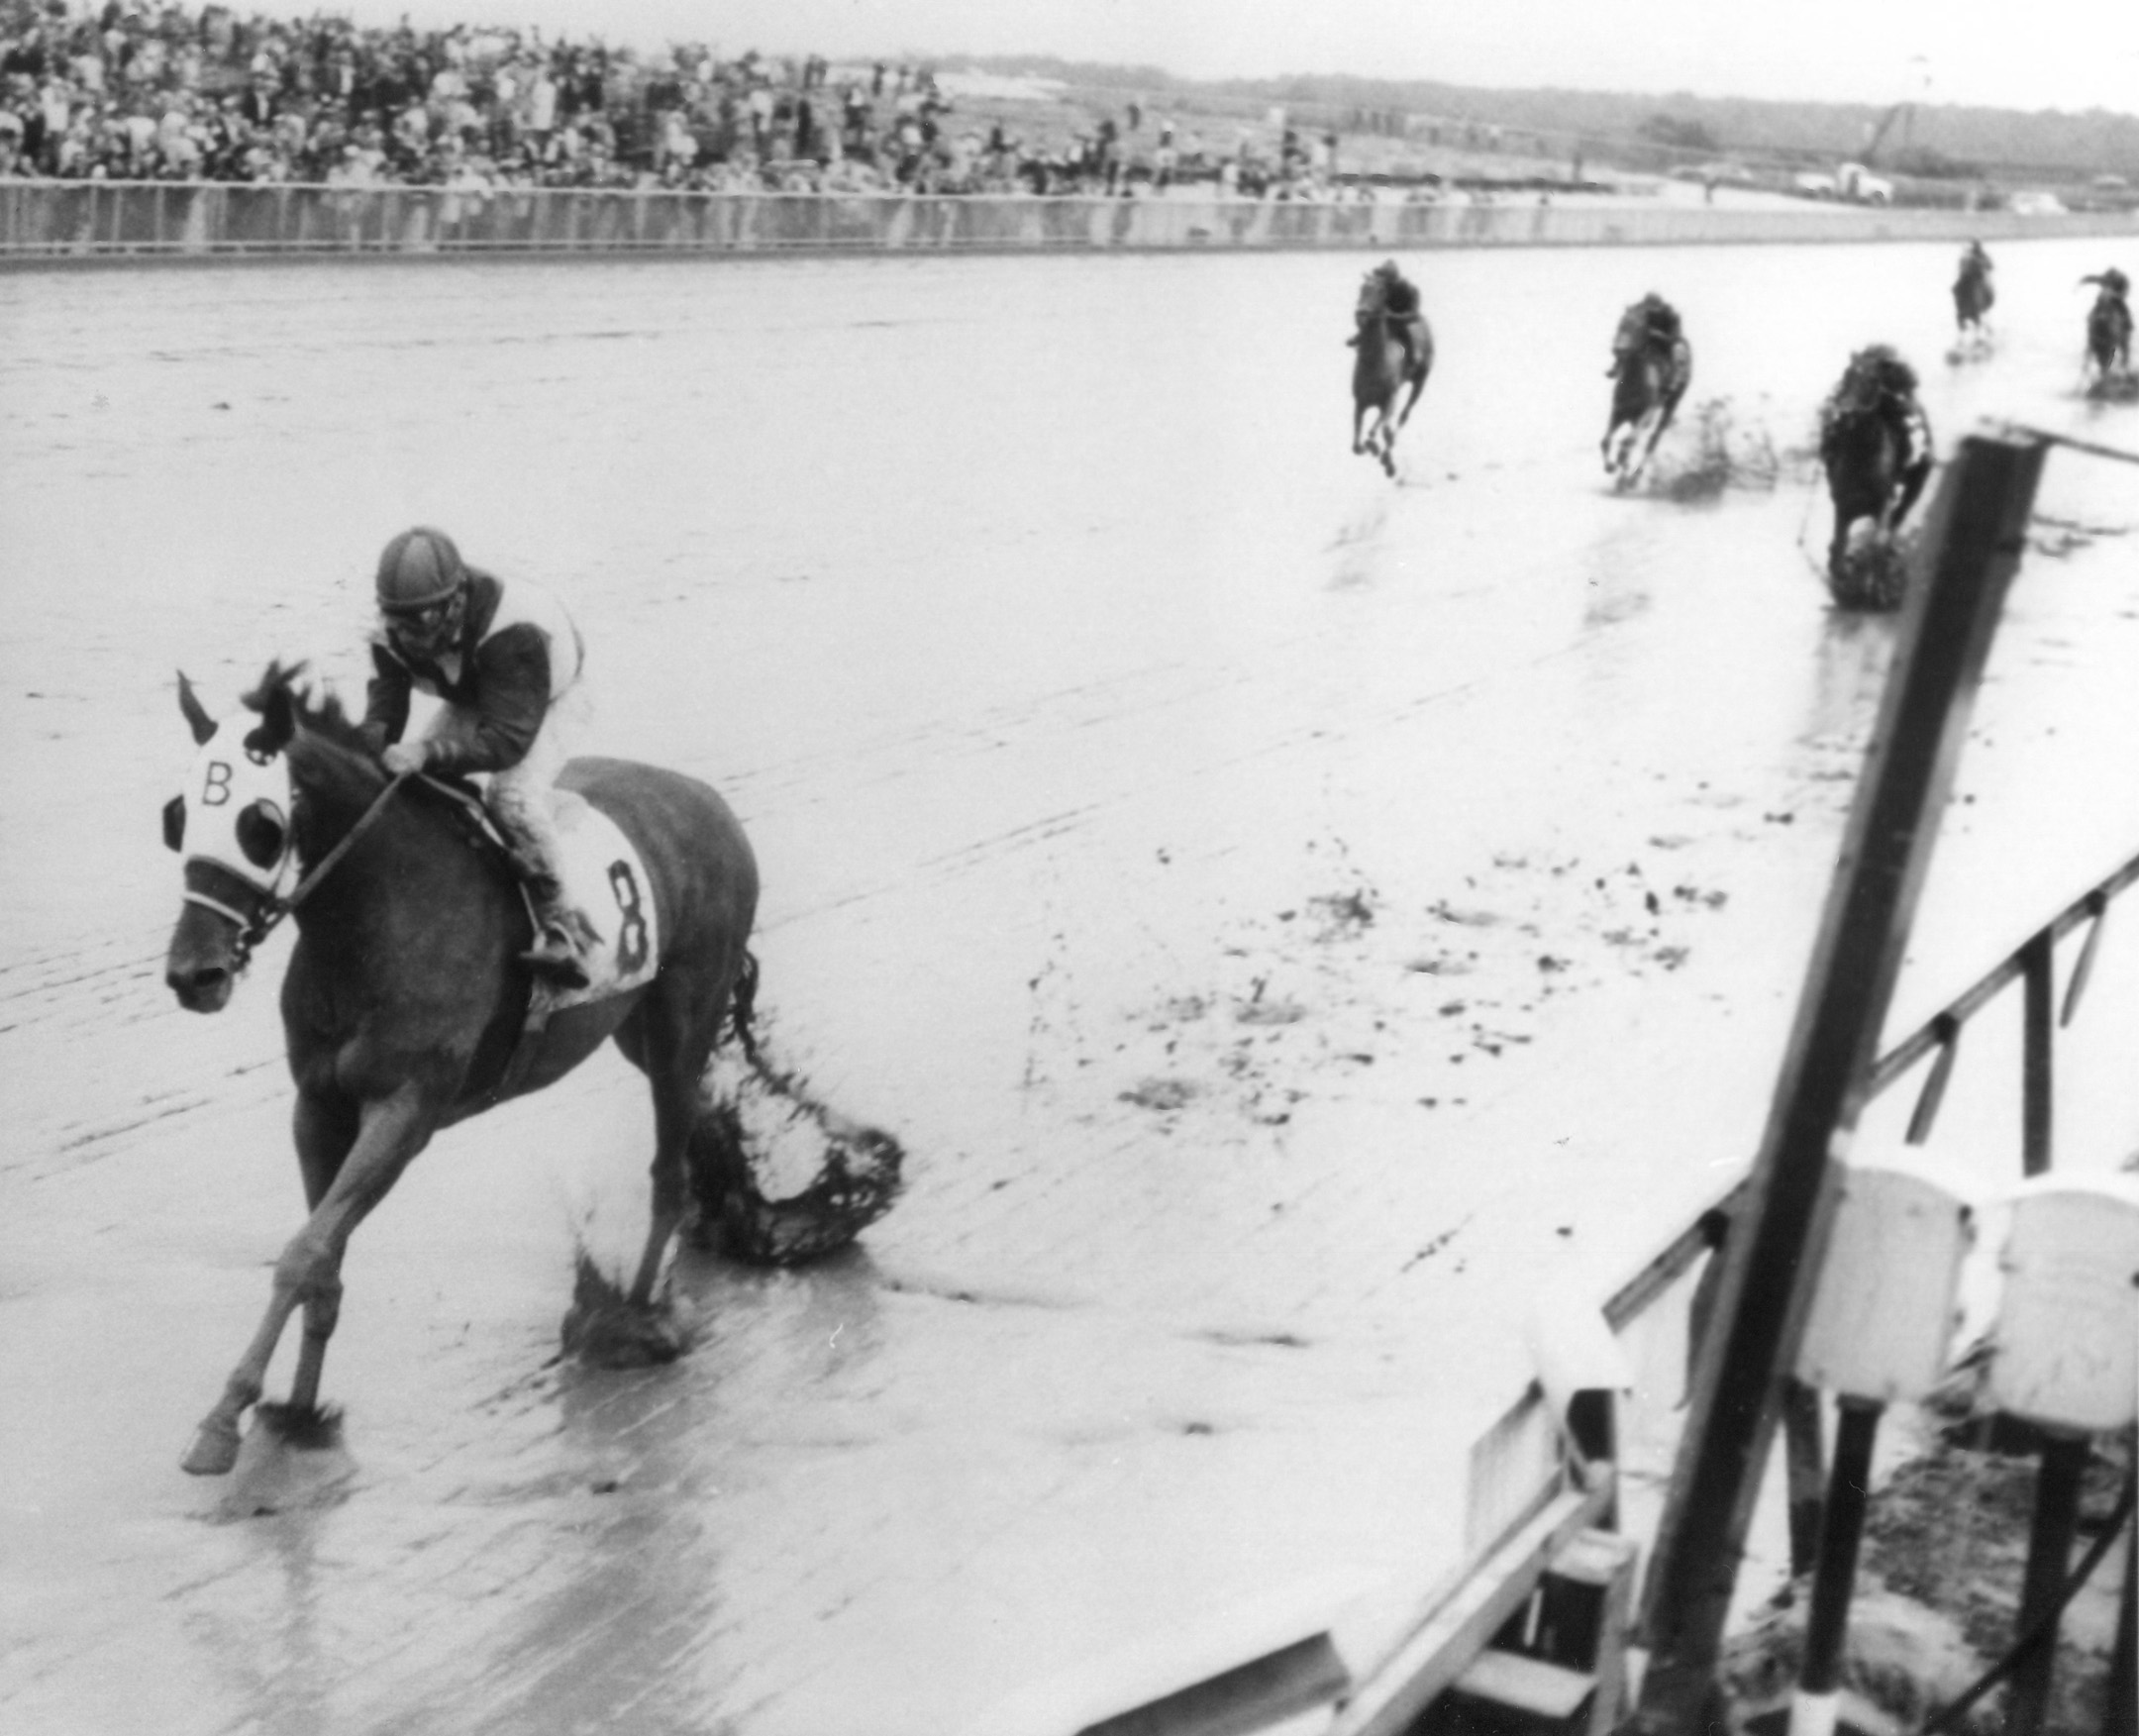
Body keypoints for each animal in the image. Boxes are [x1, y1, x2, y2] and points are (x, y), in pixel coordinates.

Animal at [164, 663, 893, 1479]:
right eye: (178, 817)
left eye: (257, 824)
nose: (193, 973)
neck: (378, 913)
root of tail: (707, 801)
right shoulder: (317, 1105)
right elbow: (321, 1256)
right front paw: (297, 1409)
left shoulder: (406, 1109)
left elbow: (304, 1251)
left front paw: (222, 1420)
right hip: (636, 1026)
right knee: (698, 1119)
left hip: (686, 1013)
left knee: (667, 1170)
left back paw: (635, 1319)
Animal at [1352, 271, 1437, 478]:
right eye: (1362, 288)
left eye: (1380, 290)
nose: (1361, 312)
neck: (1374, 365)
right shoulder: (1360, 402)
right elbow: (1356, 445)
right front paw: (1369, 448)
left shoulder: (1389, 399)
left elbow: (1375, 431)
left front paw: (1377, 449)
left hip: (1419, 382)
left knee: (1403, 416)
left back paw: (1386, 456)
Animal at [1608, 307, 1702, 487]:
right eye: (1621, 324)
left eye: (1637, 327)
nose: (1618, 349)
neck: (1634, 383)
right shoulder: (1619, 412)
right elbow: (1605, 441)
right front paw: (1611, 466)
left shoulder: (1645, 415)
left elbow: (1627, 443)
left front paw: (1622, 471)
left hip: (1670, 405)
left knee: (1653, 440)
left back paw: (1635, 476)